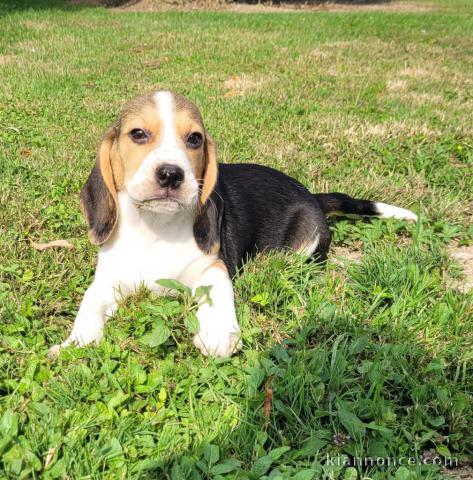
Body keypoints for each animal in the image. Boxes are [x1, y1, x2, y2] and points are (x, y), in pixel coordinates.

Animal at [48, 91, 416, 356]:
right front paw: (74, 344)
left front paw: (217, 333)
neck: (155, 226)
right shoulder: (108, 279)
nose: (171, 174)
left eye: (194, 139)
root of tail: (312, 195)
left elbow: (215, 293)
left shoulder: (213, 266)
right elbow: (90, 304)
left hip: (304, 244)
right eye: (138, 134)